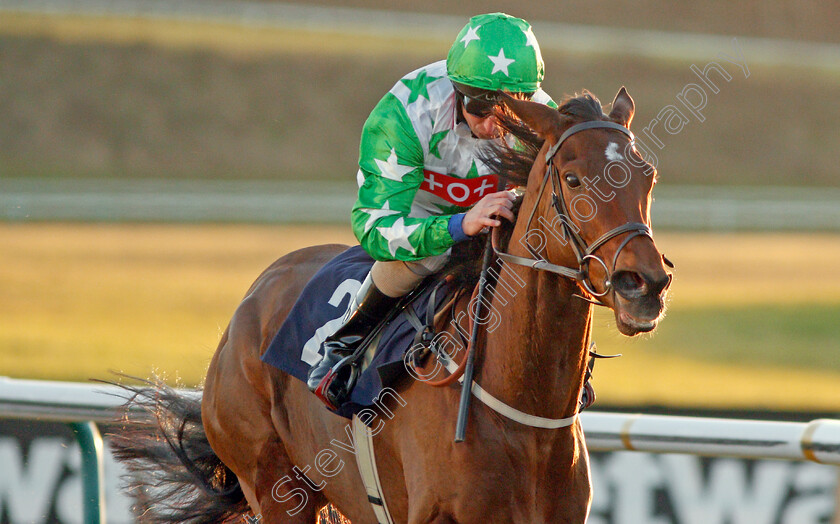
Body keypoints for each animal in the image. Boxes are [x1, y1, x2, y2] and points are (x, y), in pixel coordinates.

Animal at [115, 88, 672, 520]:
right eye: (573, 179)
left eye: (647, 175)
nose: (644, 284)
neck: (524, 411)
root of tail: (250, 300)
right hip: (274, 486)